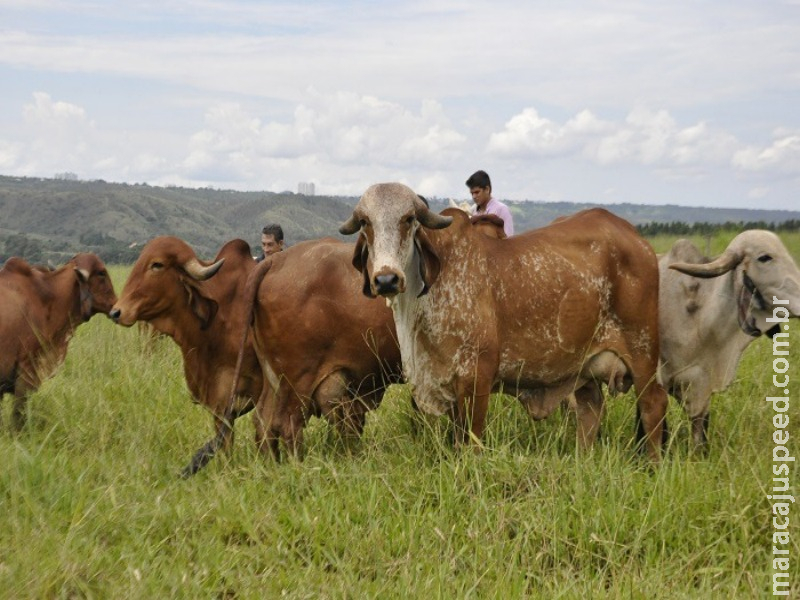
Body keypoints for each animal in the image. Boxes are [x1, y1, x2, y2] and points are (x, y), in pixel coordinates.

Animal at [340, 182, 668, 460]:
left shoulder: (477, 376)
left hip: (642, 352)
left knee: (653, 403)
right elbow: (457, 438)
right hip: (584, 366)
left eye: (408, 219)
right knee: (591, 409)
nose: (386, 279)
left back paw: (652, 465)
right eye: (366, 222)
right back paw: (582, 461)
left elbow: (471, 441)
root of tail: (636, 238)